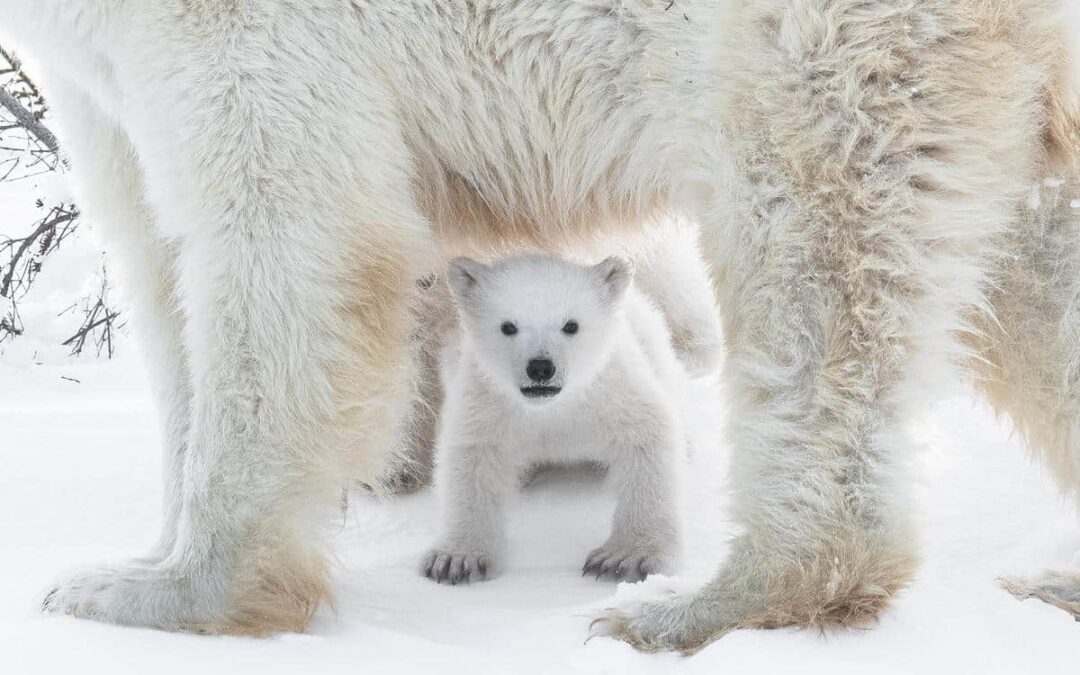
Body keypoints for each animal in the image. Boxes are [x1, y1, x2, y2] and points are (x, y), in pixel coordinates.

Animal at [421, 254, 688, 584]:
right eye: (507, 326)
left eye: (571, 325)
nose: (540, 368)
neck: (549, 409)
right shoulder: (486, 400)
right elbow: (472, 460)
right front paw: (456, 560)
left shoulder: (610, 392)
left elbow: (646, 438)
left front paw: (625, 558)